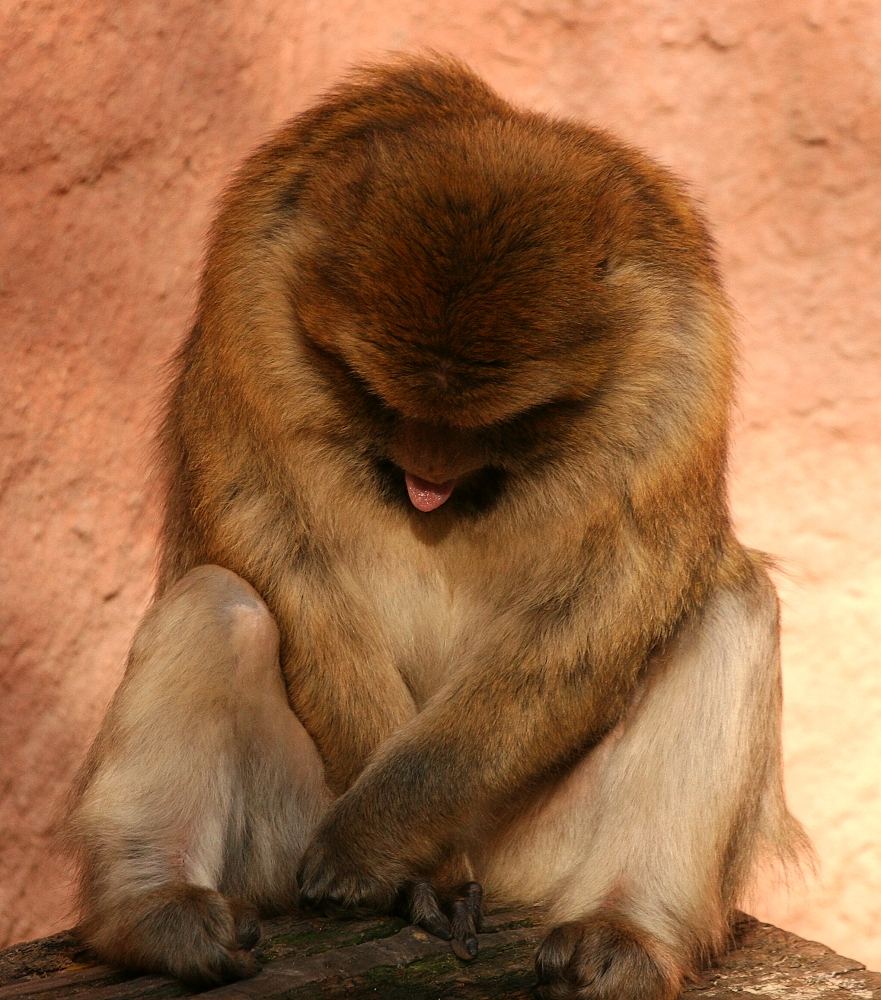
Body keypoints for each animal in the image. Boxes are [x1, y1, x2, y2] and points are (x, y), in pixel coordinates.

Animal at [63, 56, 804, 1000]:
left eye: (501, 421)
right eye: (373, 395)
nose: (428, 474)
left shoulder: (679, 356)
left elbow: (605, 602)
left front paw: (376, 839)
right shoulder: (250, 283)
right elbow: (269, 530)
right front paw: (396, 863)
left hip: (532, 852)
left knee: (728, 605)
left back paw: (621, 933)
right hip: (279, 841)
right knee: (219, 603)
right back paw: (158, 913)